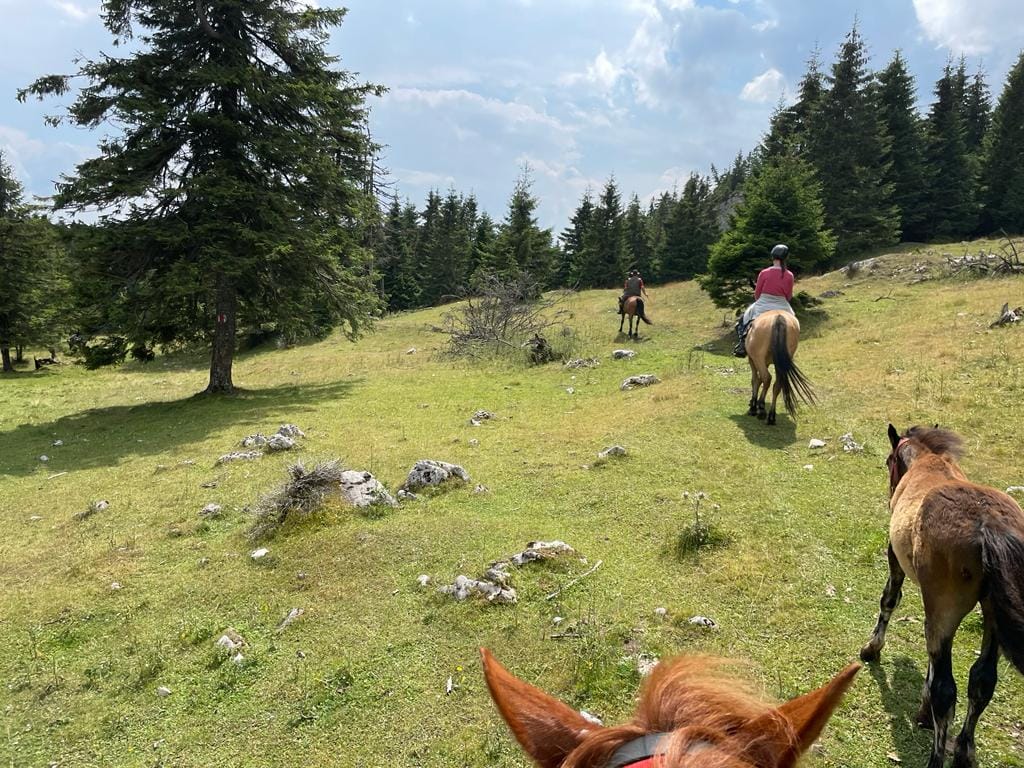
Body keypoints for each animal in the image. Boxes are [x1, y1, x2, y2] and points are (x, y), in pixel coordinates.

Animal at [860, 425, 1024, 768]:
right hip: (990, 618)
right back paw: (963, 751)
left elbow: (889, 600)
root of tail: (987, 525)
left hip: (945, 611)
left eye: (888, 462)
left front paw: (872, 648)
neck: (928, 462)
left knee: (946, 691)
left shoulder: (897, 562)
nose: (889, 492)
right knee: (982, 682)